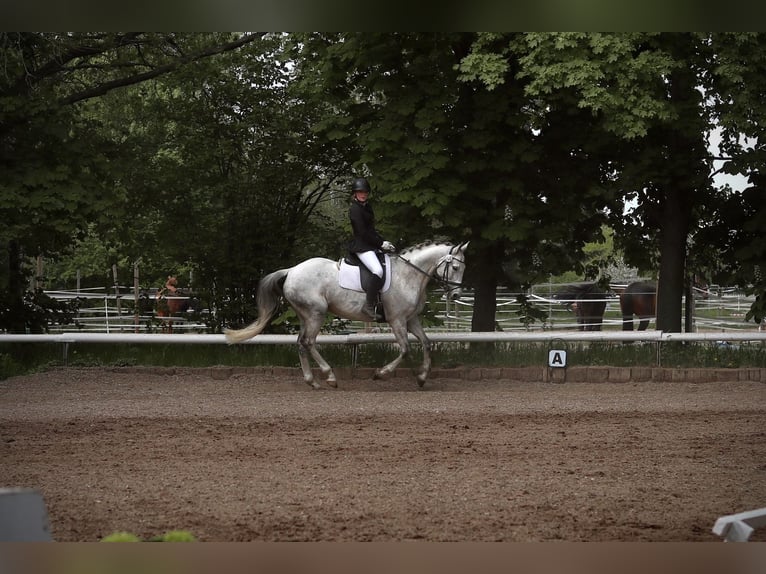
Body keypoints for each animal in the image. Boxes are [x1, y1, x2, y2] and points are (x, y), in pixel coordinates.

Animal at [225, 241, 472, 394]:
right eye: (455, 267)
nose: (456, 295)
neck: (409, 275)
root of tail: (291, 270)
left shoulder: (411, 319)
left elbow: (427, 344)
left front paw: (421, 378)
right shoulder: (397, 320)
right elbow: (404, 349)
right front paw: (381, 374)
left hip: (306, 315)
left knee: (301, 343)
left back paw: (313, 382)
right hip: (316, 313)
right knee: (308, 342)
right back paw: (329, 377)